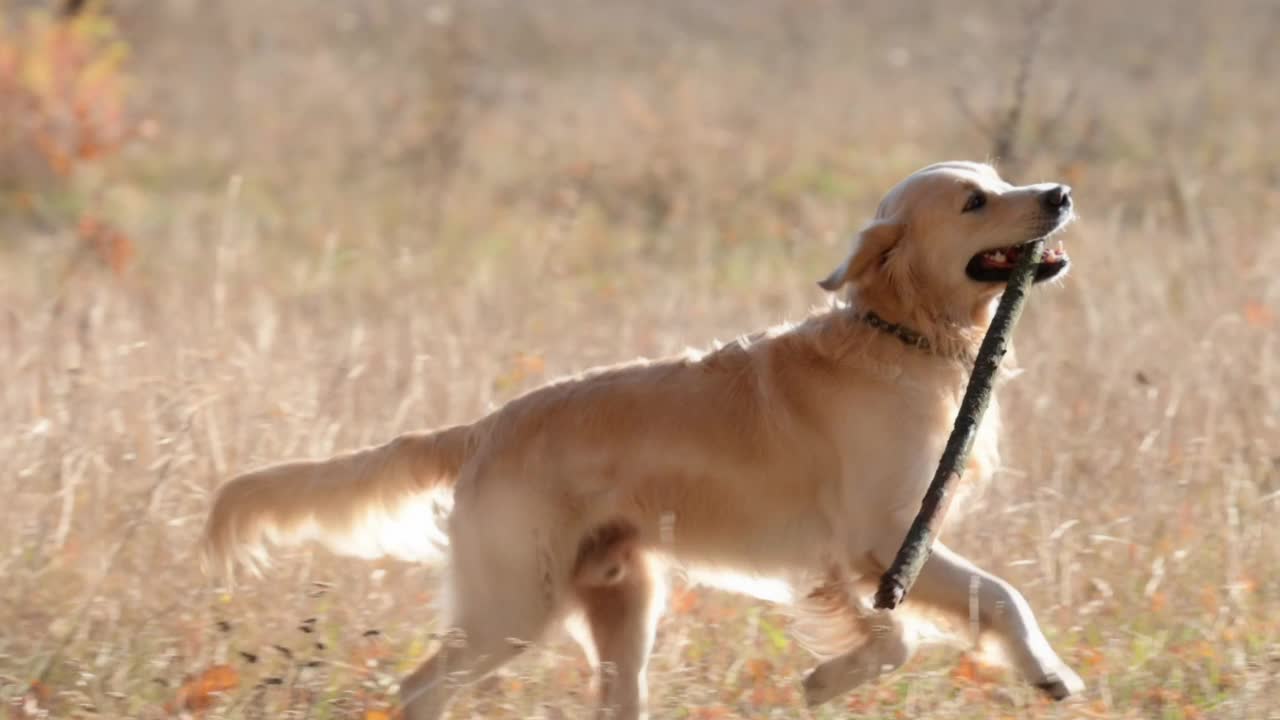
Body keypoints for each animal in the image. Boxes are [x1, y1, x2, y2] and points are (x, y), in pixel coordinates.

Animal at [204, 159, 1085, 712]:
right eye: (975, 201)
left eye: (1002, 177)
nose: (1060, 192)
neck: (898, 338)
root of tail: (483, 428)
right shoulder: (883, 537)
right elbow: (999, 597)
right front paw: (1048, 671)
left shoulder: (847, 559)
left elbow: (896, 636)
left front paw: (831, 678)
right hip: (513, 602)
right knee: (419, 689)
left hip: (622, 605)